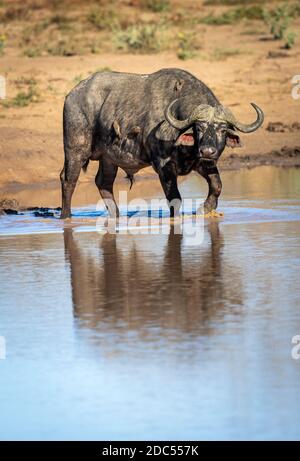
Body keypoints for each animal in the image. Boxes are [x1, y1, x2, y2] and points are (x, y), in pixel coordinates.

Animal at [60, 67, 262, 218]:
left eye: (222, 129)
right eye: (199, 128)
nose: (207, 151)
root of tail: (71, 95)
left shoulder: (202, 164)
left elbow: (217, 186)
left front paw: (204, 209)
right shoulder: (163, 166)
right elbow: (174, 198)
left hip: (109, 159)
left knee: (103, 182)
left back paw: (116, 215)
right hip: (76, 150)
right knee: (68, 180)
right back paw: (66, 216)